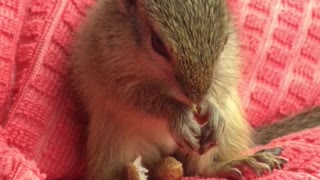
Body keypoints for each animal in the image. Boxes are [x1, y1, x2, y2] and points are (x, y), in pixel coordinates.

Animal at [69, 0, 320, 179]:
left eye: (225, 41)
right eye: (157, 44)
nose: (196, 97)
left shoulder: (227, 64)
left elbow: (222, 84)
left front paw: (212, 109)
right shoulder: (110, 66)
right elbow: (139, 99)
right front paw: (178, 115)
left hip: (220, 137)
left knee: (200, 169)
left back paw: (234, 163)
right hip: (114, 147)